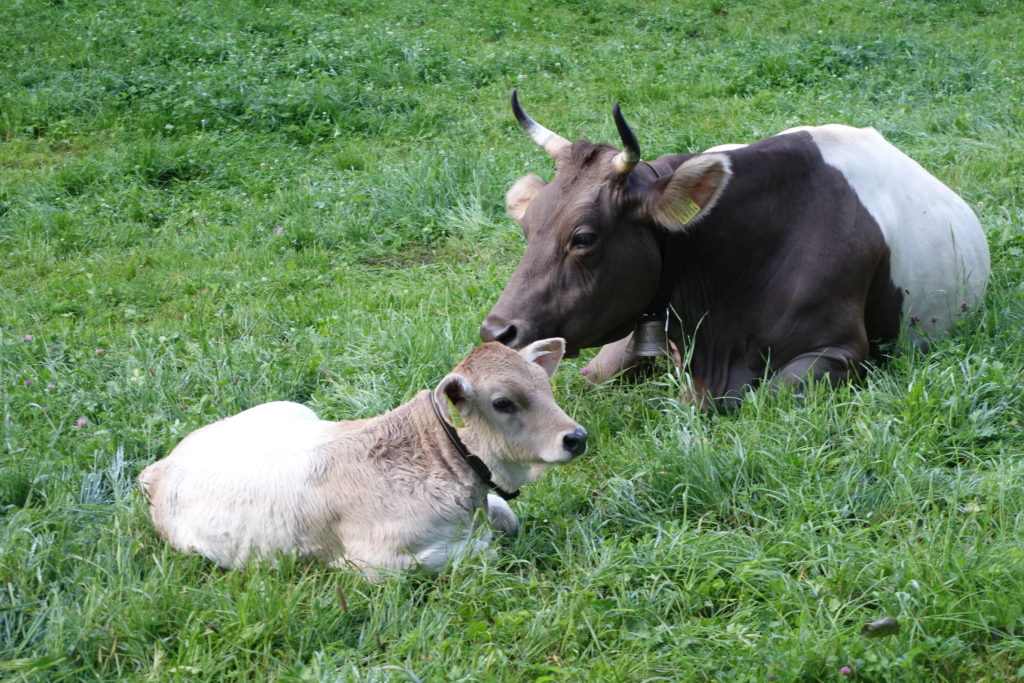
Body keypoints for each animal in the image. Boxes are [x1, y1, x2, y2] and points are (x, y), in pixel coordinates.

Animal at [137, 339, 589, 573]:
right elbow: (485, 549)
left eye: (545, 386)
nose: (576, 437)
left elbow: (507, 517)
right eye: (503, 402)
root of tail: (159, 469)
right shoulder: (374, 561)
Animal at [479, 90, 991, 411]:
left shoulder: (843, 350)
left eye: (584, 237)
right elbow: (589, 379)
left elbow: (765, 397)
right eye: (528, 226)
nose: (496, 331)